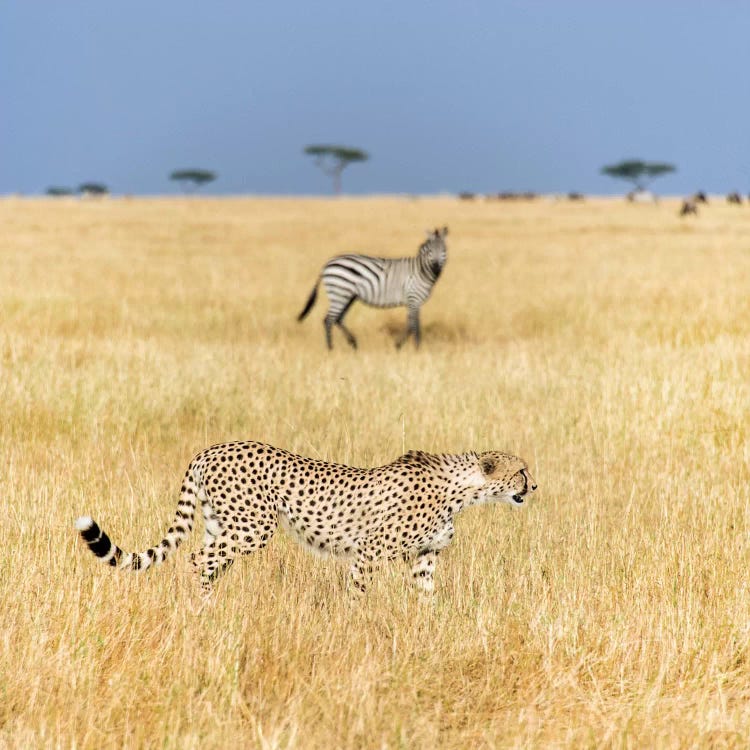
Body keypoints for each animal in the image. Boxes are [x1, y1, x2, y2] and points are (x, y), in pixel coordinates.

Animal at [75, 444, 536, 596]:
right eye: (521, 471)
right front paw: (357, 627)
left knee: (207, 561)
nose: (534, 487)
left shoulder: (424, 556)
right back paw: (203, 610)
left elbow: (426, 598)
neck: (461, 490)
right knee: (196, 560)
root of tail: (211, 449)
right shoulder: (369, 552)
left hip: (221, 524)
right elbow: (358, 593)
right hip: (253, 527)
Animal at [300, 226, 450, 350]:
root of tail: (326, 265)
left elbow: (412, 324)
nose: (436, 267)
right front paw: (413, 348)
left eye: (443, 250)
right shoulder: (414, 299)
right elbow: (414, 326)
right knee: (329, 320)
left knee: (338, 318)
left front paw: (403, 346)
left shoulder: (412, 302)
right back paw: (330, 349)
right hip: (340, 292)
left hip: (348, 296)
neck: (421, 271)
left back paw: (353, 343)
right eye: (430, 251)